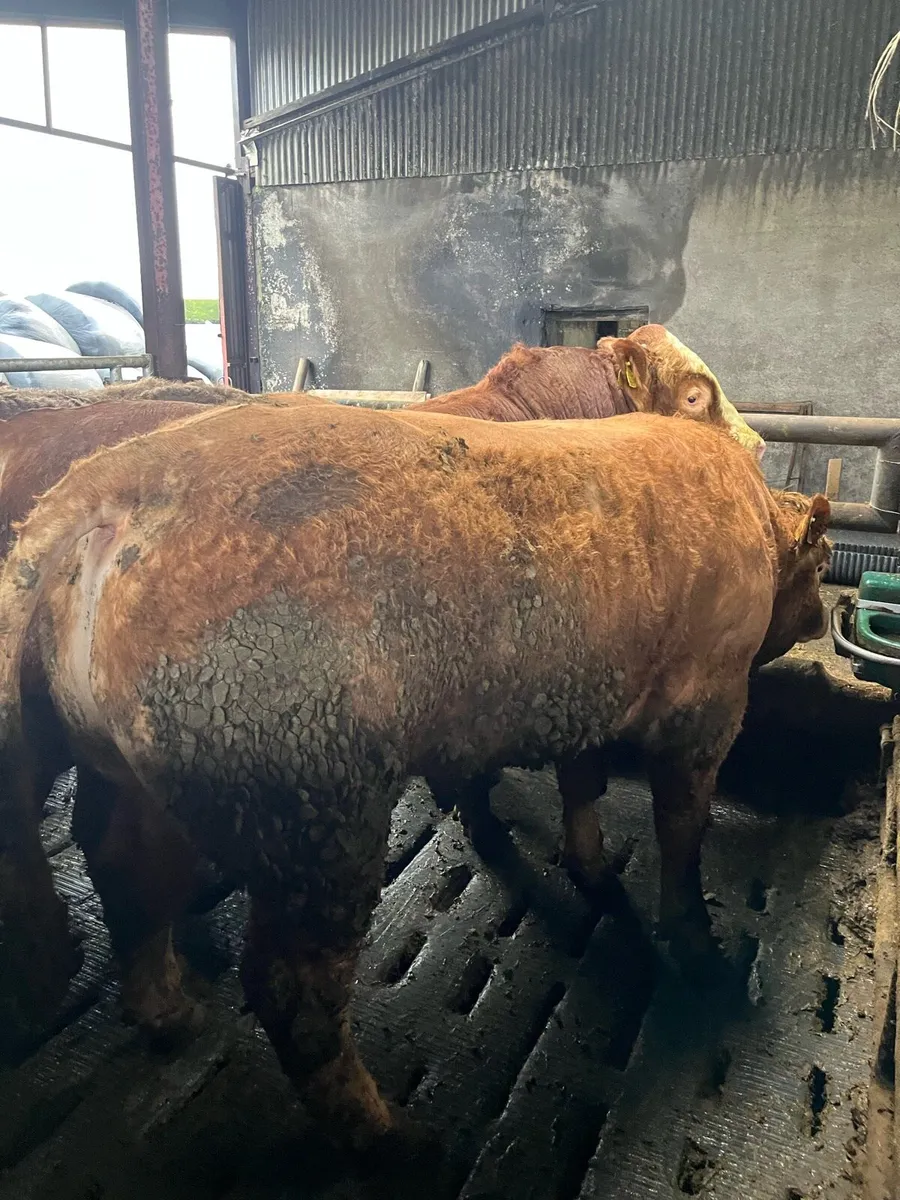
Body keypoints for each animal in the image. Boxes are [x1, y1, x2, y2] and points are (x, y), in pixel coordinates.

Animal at [0, 403, 829, 1145]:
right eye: (821, 565)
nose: (822, 619)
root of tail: (102, 496)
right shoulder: (710, 696)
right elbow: (682, 829)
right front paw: (705, 957)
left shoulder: (591, 687)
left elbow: (580, 781)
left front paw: (590, 866)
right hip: (306, 781)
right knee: (289, 984)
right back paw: (393, 1133)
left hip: (137, 765)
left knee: (126, 870)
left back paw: (174, 1015)